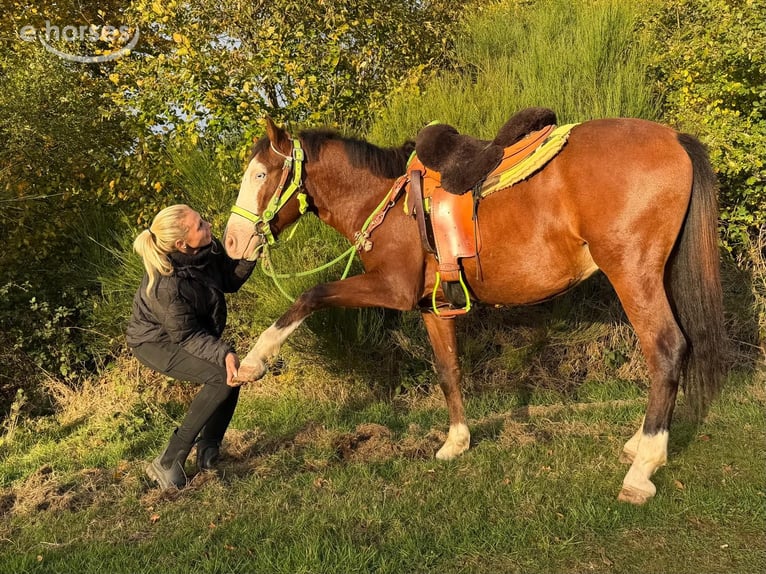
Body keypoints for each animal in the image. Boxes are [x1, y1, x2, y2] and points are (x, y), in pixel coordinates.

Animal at [223, 115, 726, 505]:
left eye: (260, 175)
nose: (230, 242)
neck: (386, 198)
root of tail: (674, 138)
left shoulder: (391, 288)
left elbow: (309, 296)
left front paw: (252, 363)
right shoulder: (432, 307)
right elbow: (448, 370)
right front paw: (457, 441)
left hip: (632, 272)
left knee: (666, 350)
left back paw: (643, 469)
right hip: (659, 274)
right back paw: (639, 444)